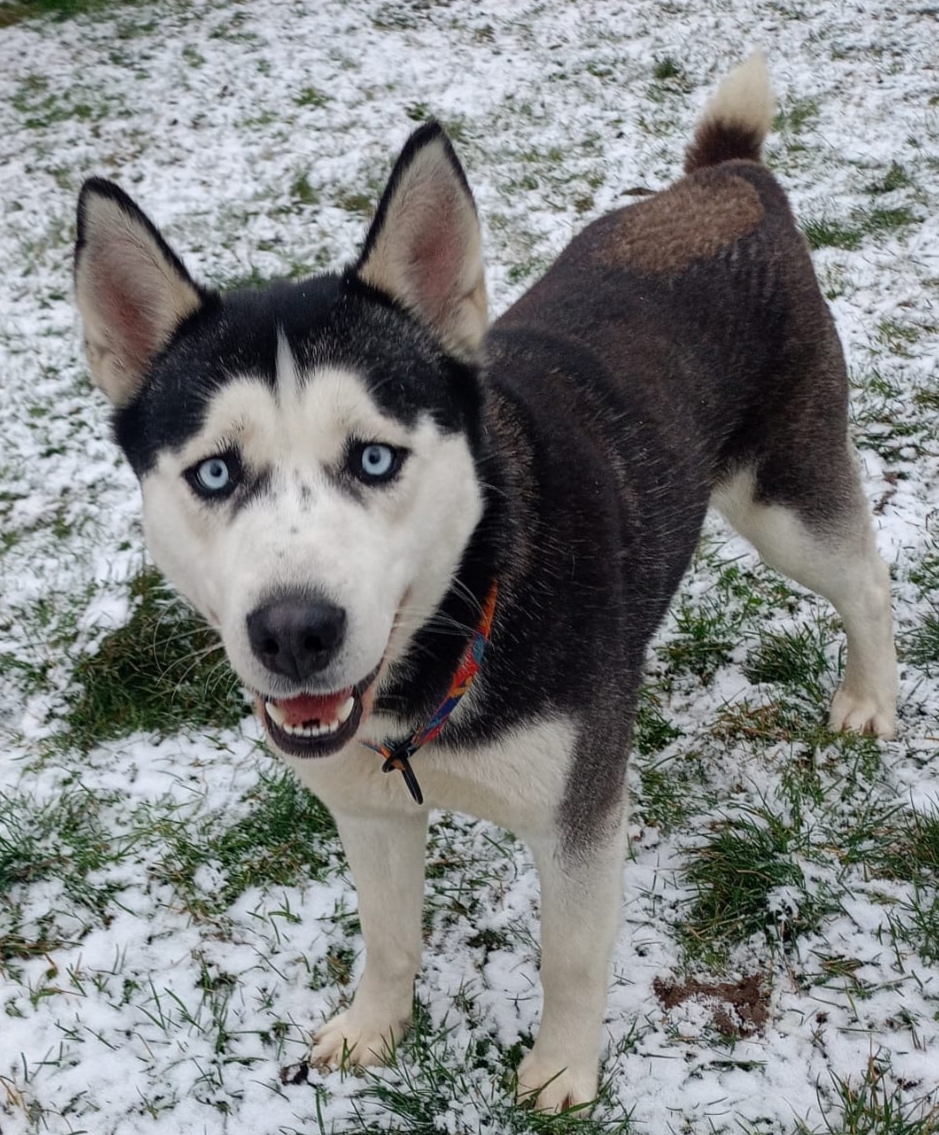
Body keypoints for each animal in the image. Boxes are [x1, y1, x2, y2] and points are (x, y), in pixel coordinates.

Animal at [73, 53, 896, 1111]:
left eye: (374, 458)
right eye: (216, 472)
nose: (293, 631)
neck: (451, 631)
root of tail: (728, 175)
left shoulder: (579, 816)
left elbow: (571, 955)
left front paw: (562, 1074)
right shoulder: (366, 806)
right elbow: (388, 935)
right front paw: (374, 1029)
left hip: (781, 496)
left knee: (863, 577)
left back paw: (870, 696)